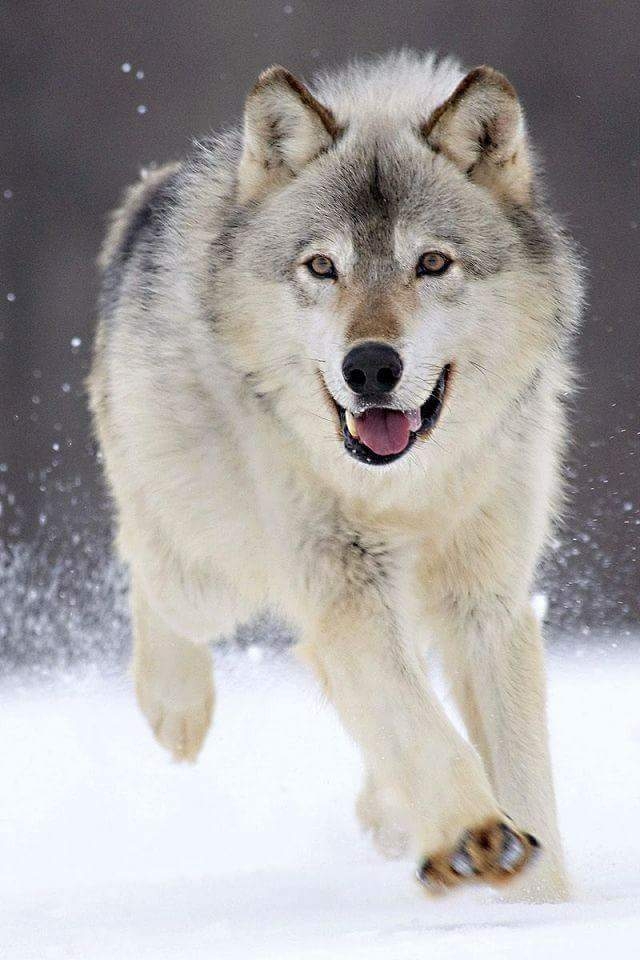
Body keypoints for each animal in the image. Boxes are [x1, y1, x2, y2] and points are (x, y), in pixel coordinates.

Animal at [89, 51, 583, 901]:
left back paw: (390, 816)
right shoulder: (344, 583)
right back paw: (175, 708)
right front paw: (474, 835)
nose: (371, 366)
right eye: (322, 266)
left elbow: (518, 771)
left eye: (432, 263)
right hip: (210, 570)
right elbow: (418, 725)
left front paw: (541, 899)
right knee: (147, 566)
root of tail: (151, 195)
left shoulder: (487, 600)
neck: (407, 489)